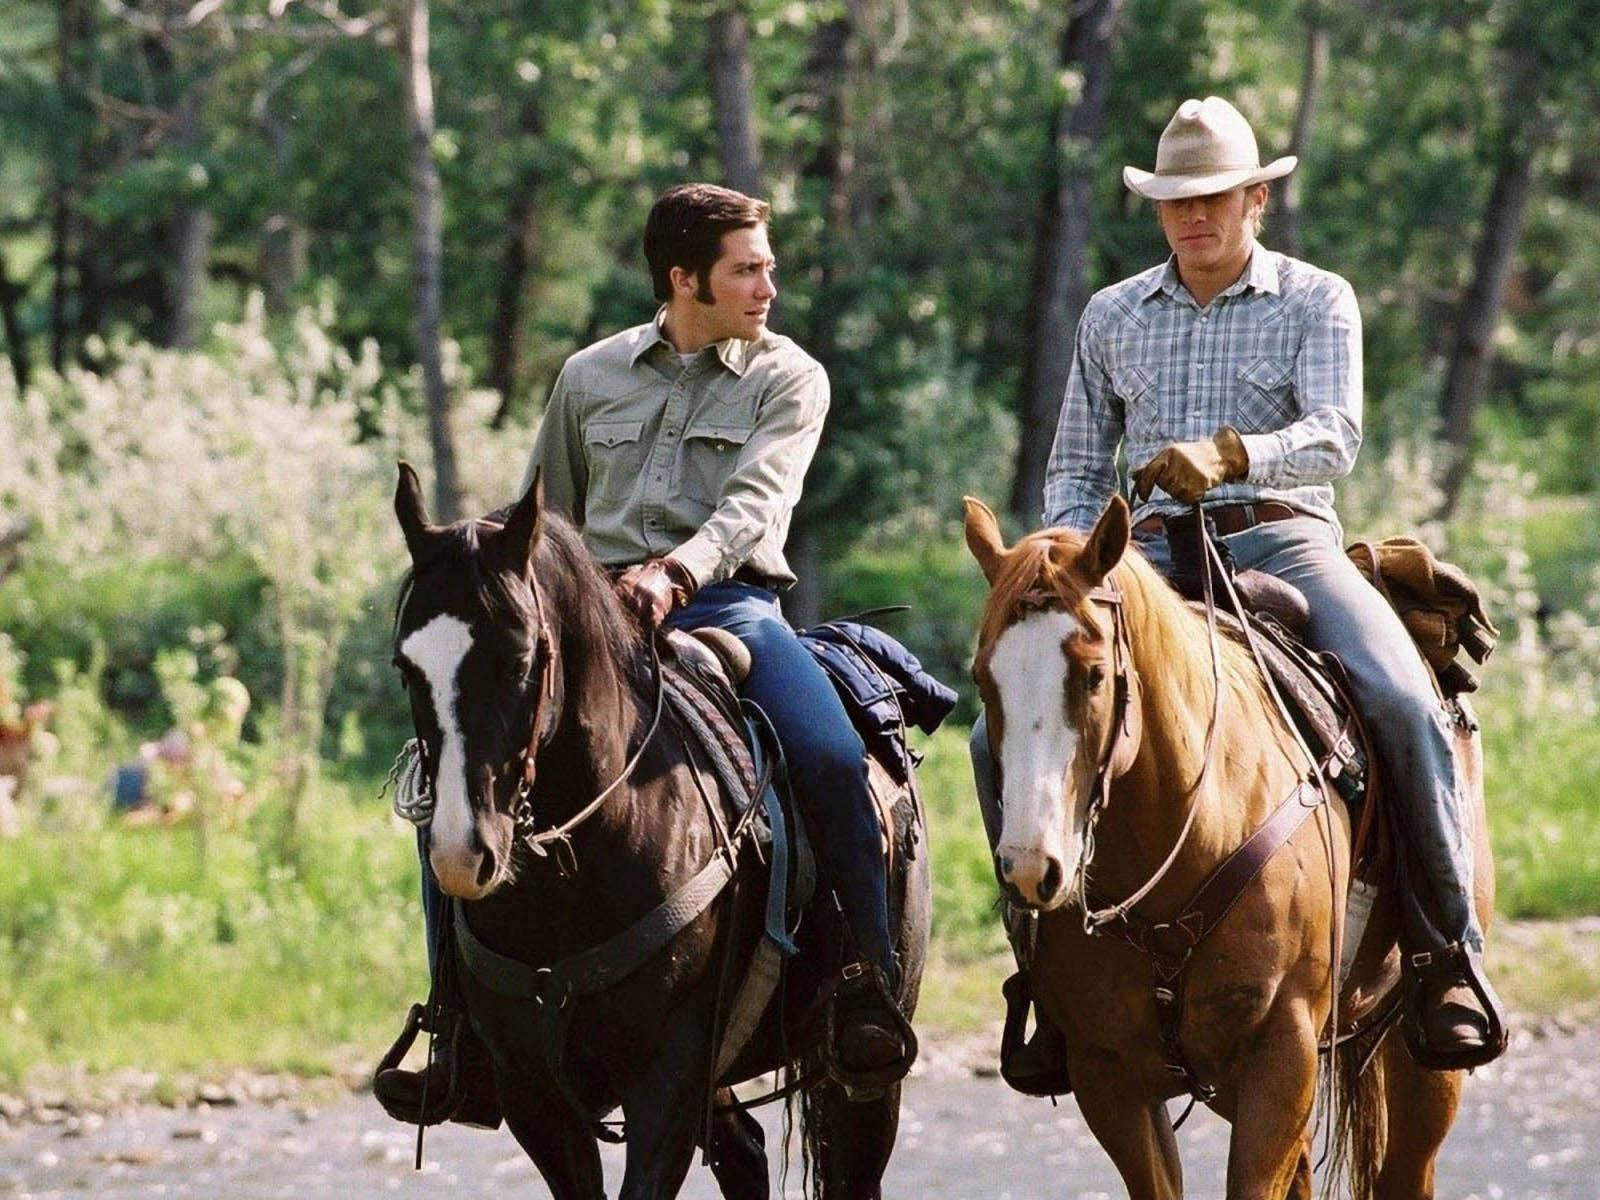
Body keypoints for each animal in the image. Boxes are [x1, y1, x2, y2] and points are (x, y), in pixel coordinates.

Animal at [388, 467, 934, 1200]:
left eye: (521, 660)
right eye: (406, 667)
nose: (460, 850)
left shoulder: (666, 1084)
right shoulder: (533, 1093)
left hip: (863, 1078)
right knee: (745, 1153)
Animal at [960, 496, 1497, 1200]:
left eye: (1095, 675)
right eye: (983, 679)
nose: (1031, 869)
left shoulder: (1282, 1056)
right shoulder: (1109, 1078)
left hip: (1420, 1070)